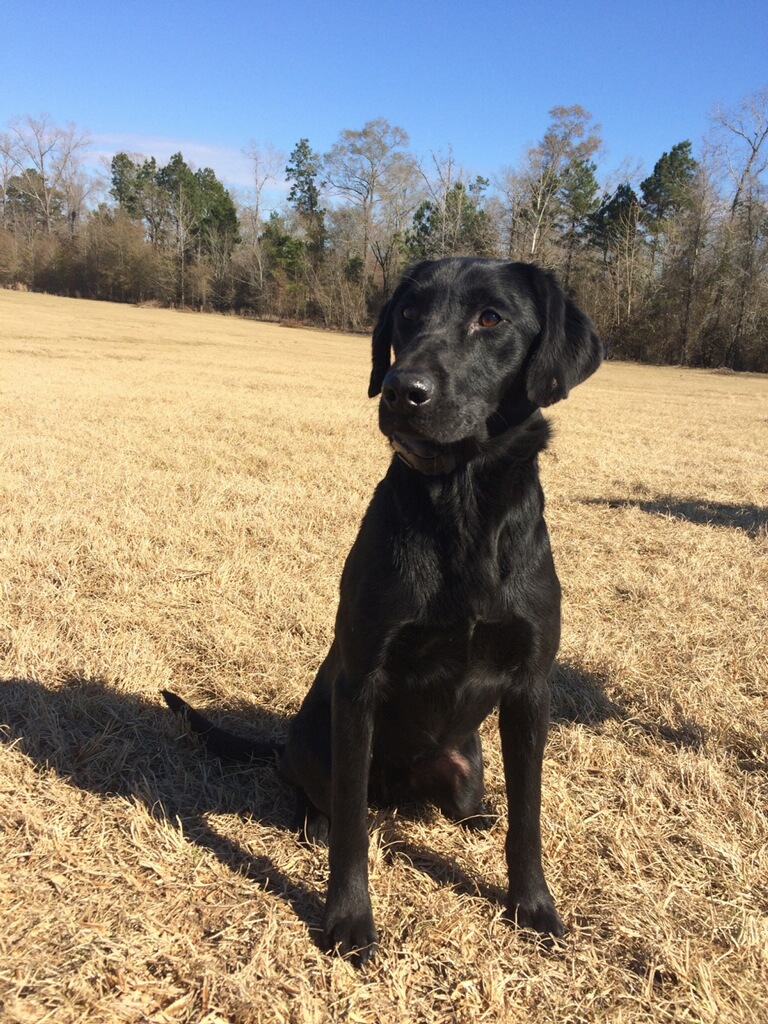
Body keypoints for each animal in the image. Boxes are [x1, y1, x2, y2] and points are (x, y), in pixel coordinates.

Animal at [165, 256, 606, 958]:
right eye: (407, 313)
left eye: (491, 318)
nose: (403, 390)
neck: (462, 507)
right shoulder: (361, 683)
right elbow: (351, 827)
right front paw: (348, 919)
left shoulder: (531, 685)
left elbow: (528, 815)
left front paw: (533, 906)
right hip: (319, 744)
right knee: (317, 794)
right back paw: (313, 819)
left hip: (465, 769)